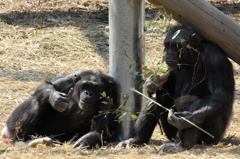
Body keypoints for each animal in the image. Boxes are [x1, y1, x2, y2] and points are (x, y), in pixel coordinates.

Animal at [117, 24, 235, 152]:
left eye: (176, 45)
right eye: (168, 45)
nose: (170, 53)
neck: (192, 56)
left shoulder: (215, 59)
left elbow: (219, 93)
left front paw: (188, 119)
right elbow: (169, 83)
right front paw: (151, 83)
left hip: (212, 136)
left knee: (190, 101)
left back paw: (180, 144)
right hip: (170, 133)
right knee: (157, 98)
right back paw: (136, 139)